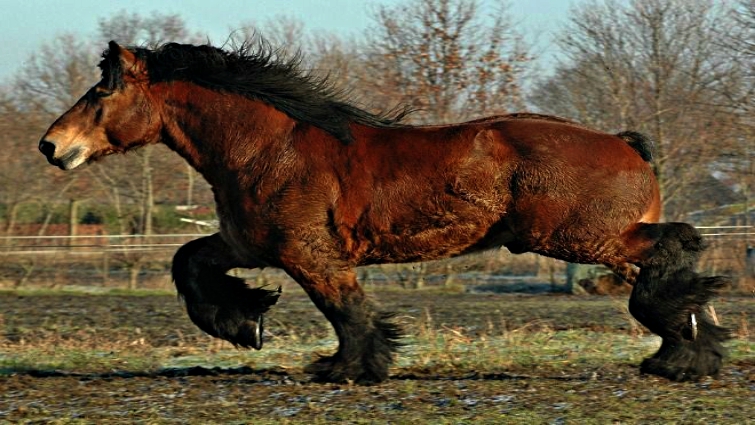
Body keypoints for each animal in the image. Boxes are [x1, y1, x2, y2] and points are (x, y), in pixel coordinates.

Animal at [39, 41, 729, 384]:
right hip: (595, 238)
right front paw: (244, 324)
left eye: (102, 91)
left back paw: (678, 357)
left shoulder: (308, 254)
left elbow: (346, 311)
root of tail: (625, 143)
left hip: (580, 236)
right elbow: (188, 263)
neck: (269, 146)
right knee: (681, 270)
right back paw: (692, 353)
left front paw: (345, 368)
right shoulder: (247, 244)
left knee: (677, 249)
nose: (52, 145)